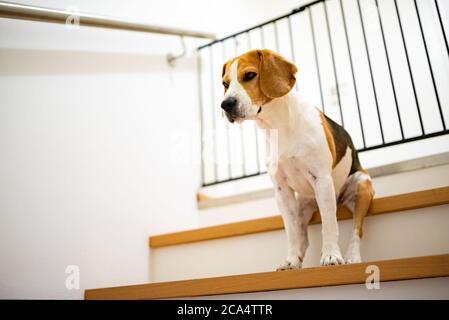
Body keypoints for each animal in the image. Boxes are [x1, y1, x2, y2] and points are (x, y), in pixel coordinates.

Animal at [221, 48, 374, 268]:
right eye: (225, 84)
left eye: (249, 75)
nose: (225, 104)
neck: (277, 125)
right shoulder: (282, 191)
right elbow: (292, 233)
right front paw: (291, 261)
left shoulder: (322, 180)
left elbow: (330, 225)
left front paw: (331, 256)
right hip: (302, 205)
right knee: (303, 238)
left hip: (362, 185)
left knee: (356, 229)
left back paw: (353, 257)